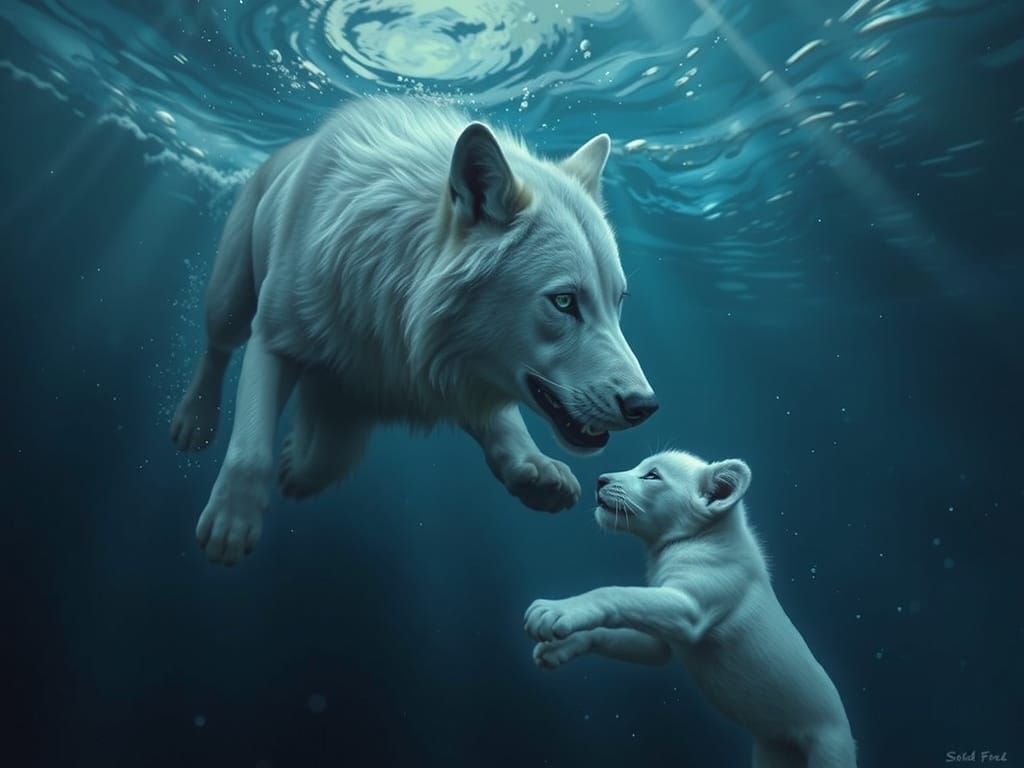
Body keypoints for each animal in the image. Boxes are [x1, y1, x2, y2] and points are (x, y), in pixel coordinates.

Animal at [170, 97, 658, 565]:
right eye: (564, 302)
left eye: (618, 301)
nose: (646, 407)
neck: (388, 275)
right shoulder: (274, 337)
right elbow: (251, 445)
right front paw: (233, 519)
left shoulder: (434, 368)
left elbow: (492, 422)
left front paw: (533, 468)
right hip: (230, 300)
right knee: (217, 349)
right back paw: (194, 422)